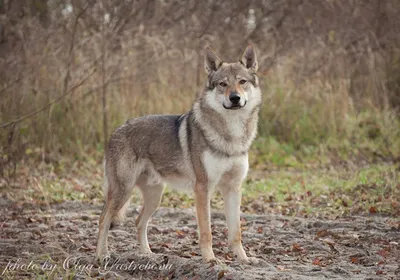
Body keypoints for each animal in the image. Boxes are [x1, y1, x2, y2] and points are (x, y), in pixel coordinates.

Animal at [95, 44, 260, 264]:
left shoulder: (233, 188)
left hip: (155, 196)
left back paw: (147, 254)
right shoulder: (202, 188)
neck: (231, 134)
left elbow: (236, 232)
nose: (235, 98)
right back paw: (101, 255)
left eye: (242, 82)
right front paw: (210, 260)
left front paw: (244, 259)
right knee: (103, 219)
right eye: (223, 84)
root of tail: (116, 131)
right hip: (123, 190)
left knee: (138, 221)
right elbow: (206, 231)